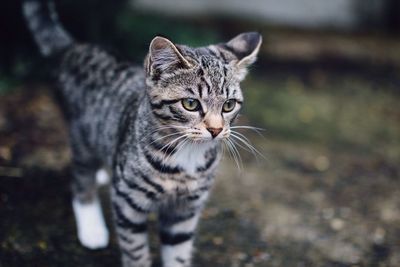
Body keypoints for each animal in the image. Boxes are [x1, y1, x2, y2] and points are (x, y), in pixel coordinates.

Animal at [24, 1, 262, 266]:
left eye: (228, 105)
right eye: (190, 104)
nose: (216, 129)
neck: (187, 157)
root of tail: (74, 47)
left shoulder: (185, 210)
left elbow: (178, 251)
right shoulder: (128, 203)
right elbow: (135, 250)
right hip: (82, 133)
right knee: (81, 175)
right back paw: (91, 227)